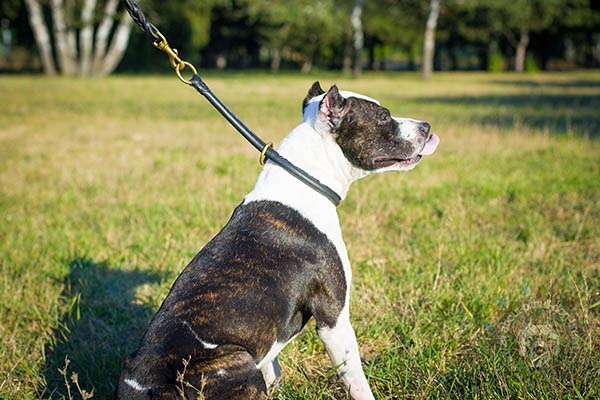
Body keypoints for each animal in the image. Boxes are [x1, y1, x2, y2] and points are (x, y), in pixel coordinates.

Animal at [115, 82, 438, 400]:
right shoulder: (333, 319)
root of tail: (147, 388)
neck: (306, 179)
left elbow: (274, 369)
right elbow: (355, 379)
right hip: (236, 359)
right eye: (383, 117)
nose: (426, 125)